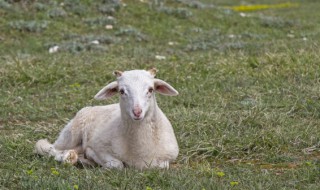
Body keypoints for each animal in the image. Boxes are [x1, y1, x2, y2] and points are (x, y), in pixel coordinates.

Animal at [36, 68, 180, 169]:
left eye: (151, 89)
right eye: (121, 91)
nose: (137, 112)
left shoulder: (168, 157)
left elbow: (162, 165)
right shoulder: (98, 147)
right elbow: (117, 164)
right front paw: (96, 160)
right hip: (71, 133)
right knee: (47, 147)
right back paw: (68, 157)